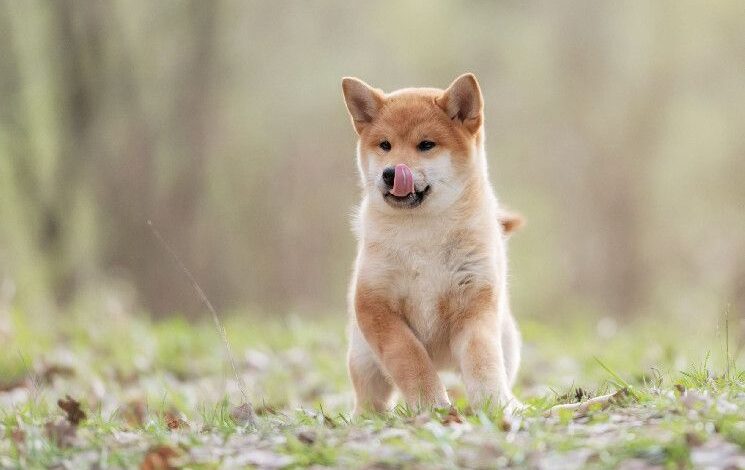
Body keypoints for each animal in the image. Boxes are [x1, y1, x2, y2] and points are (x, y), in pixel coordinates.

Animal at [342, 73, 520, 414]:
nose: (391, 173)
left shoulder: (475, 301)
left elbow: (481, 359)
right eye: (385, 145)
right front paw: (431, 404)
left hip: (508, 342)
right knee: (370, 394)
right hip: (363, 358)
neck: (422, 233)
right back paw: (366, 416)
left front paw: (493, 403)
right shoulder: (374, 304)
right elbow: (409, 356)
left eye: (426, 145)